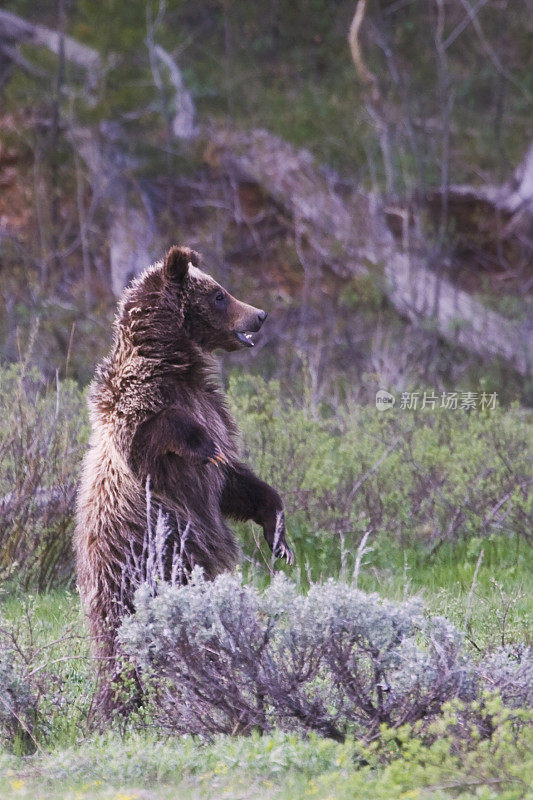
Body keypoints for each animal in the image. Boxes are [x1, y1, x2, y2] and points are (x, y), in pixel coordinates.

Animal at [75, 244, 294, 676]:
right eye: (219, 295)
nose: (260, 314)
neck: (177, 366)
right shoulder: (134, 411)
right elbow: (157, 435)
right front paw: (201, 443)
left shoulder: (213, 409)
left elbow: (234, 481)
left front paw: (278, 536)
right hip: (141, 560)